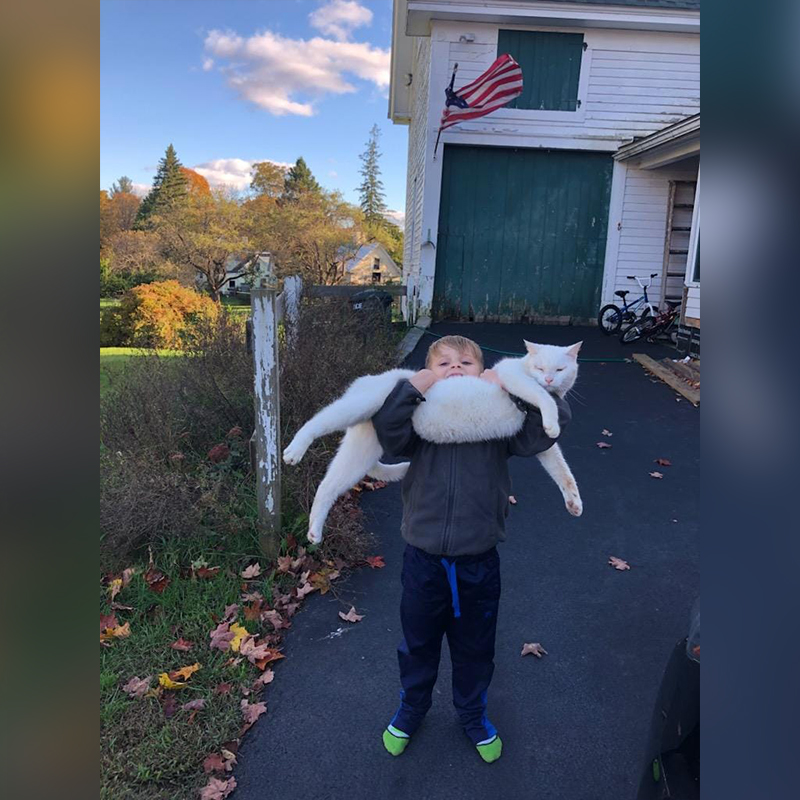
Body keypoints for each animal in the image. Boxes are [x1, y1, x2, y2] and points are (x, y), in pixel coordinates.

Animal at [282, 340, 580, 544]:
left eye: (560, 369)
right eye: (540, 368)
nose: (549, 378)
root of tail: (365, 380)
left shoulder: (538, 441)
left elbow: (561, 469)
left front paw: (574, 502)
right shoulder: (512, 377)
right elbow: (542, 397)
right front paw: (552, 420)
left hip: (362, 450)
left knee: (329, 485)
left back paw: (314, 531)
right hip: (357, 407)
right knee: (318, 421)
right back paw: (293, 451)